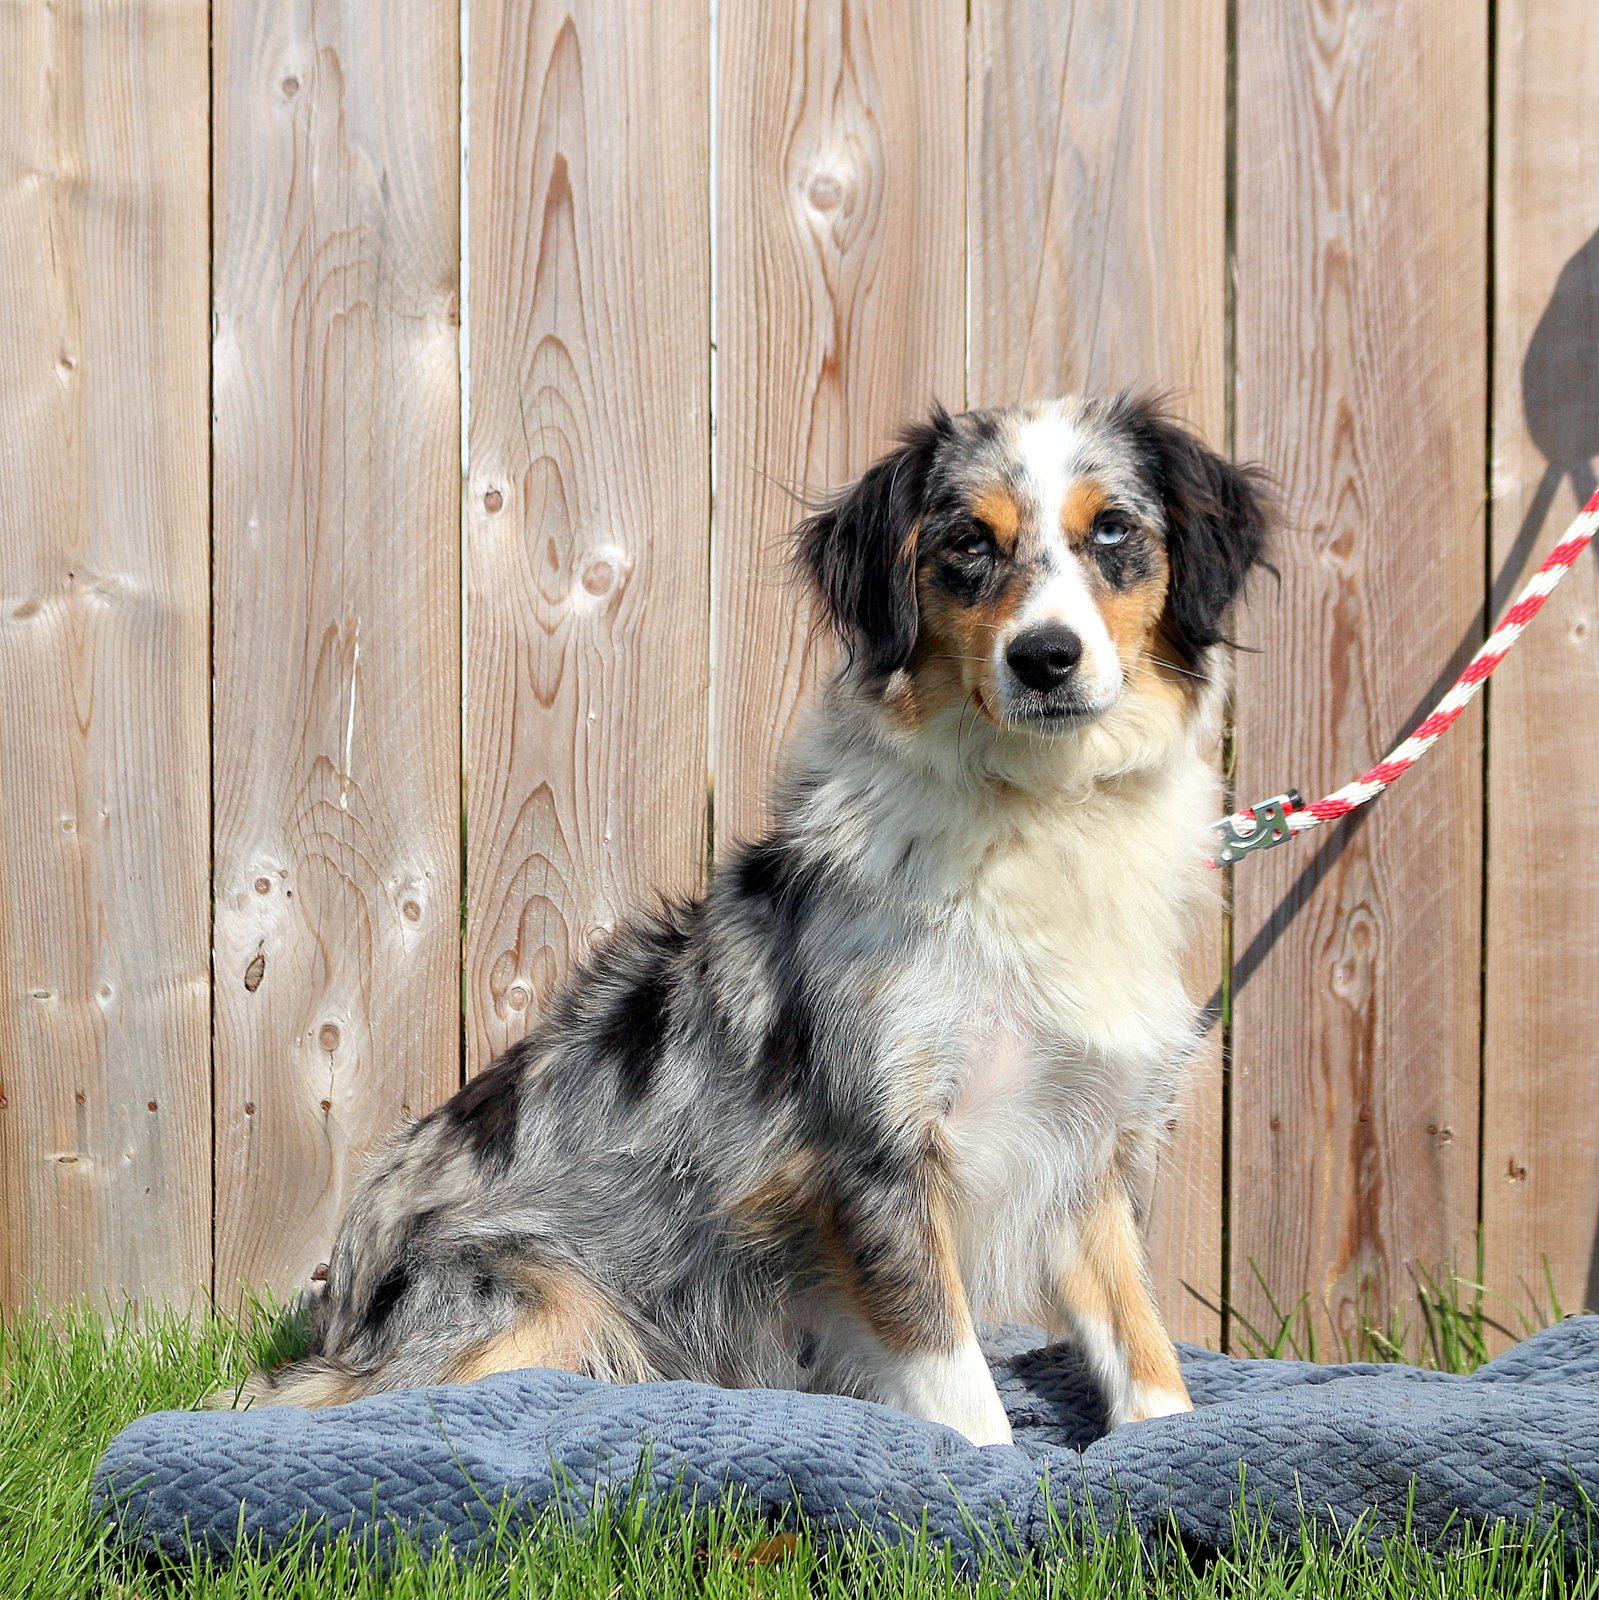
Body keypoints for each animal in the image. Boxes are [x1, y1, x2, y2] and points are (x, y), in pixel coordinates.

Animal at [228, 393, 1274, 1446]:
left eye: (1114, 531)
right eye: (968, 544)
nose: (1045, 658)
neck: (1041, 811)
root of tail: (340, 1297)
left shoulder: (1081, 1141)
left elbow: (1141, 1340)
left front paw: (1165, 1444)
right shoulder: (876, 1154)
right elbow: (960, 1389)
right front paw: (989, 1473)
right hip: (542, 1306)